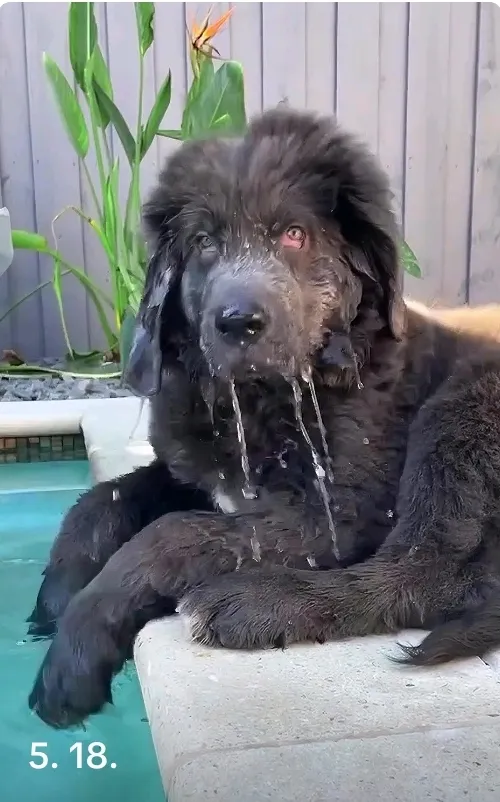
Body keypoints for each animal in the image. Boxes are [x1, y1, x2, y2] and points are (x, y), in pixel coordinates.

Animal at [28, 108, 500, 732]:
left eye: (294, 234)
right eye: (204, 242)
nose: (237, 322)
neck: (257, 405)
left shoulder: (341, 512)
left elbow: (171, 533)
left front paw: (74, 651)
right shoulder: (191, 474)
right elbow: (100, 500)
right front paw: (56, 594)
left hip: (459, 409)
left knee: (429, 570)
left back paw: (255, 605)